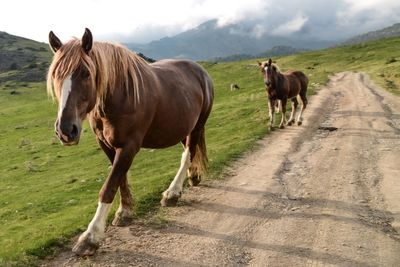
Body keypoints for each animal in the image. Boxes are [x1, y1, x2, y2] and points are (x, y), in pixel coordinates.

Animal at [47, 28, 214, 256]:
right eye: (55, 74)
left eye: (85, 73)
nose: (65, 130)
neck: (120, 95)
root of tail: (201, 71)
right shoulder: (107, 146)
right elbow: (120, 179)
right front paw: (125, 211)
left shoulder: (129, 146)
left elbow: (109, 186)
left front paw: (91, 236)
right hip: (184, 127)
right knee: (190, 152)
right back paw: (193, 176)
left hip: (197, 126)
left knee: (188, 153)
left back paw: (172, 193)